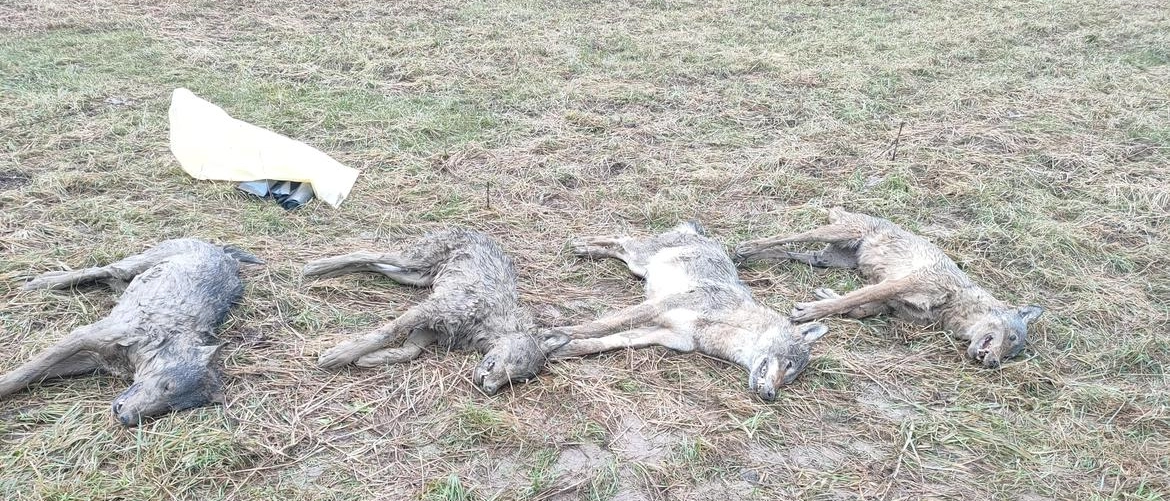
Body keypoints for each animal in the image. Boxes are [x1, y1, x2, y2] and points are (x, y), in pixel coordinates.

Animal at [0, 238, 260, 426]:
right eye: (167, 386)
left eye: (170, 408)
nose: (125, 419)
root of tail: (225, 254)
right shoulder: (83, 336)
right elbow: (24, 374)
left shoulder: (90, 359)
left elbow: (35, 374)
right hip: (134, 264)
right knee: (100, 269)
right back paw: (39, 282)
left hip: (129, 279)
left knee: (110, 279)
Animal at [308, 228, 568, 395]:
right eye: (516, 361)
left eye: (520, 380)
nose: (490, 390)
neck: (488, 321)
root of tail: (476, 230)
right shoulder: (428, 310)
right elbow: (385, 333)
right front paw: (339, 355)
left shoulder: (431, 329)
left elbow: (409, 352)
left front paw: (371, 359)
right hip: (414, 262)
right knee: (369, 253)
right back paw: (315, 267)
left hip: (414, 277)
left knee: (374, 264)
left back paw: (330, 272)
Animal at [552, 222, 828, 400]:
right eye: (789, 364)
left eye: (789, 379)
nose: (771, 395)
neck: (724, 325)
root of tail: (699, 233)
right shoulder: (660, 306)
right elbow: (600, 325)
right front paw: (555, 333)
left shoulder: (660, 333)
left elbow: (604, 342)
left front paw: (563, 350)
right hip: (639, 258)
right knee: (622, 238)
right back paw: (584, 244)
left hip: (636, 267)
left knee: (620, 248)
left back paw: (589, 249)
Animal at [734, 207, 1048, 367]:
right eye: (1011, 339)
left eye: (1010, 355)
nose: (992, 363)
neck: (953, 301)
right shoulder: (896, 284)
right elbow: (848, 301)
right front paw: (811, 311)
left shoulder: (888, 304)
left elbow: (853, 306)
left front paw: (823, 297)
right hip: (833, 234)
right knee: (787, 236)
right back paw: (746, 247)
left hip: (825, 260)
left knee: (787, 252)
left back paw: (749, 255)